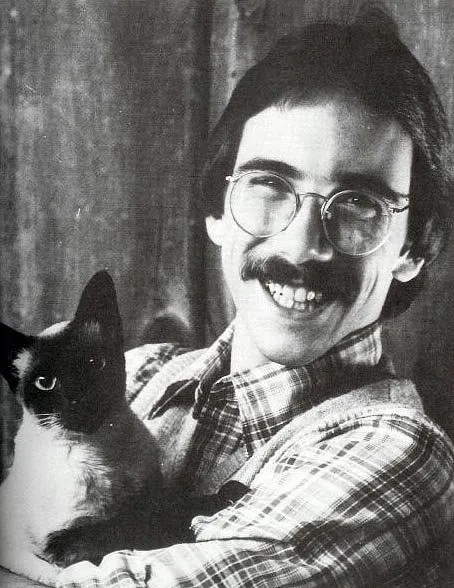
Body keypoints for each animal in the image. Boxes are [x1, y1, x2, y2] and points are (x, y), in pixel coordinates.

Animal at [0, 271, 166, 585]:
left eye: (94, 363)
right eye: (45, 383)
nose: (78, 399)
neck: (97, 452)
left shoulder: (146, 500)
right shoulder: (46, 543)